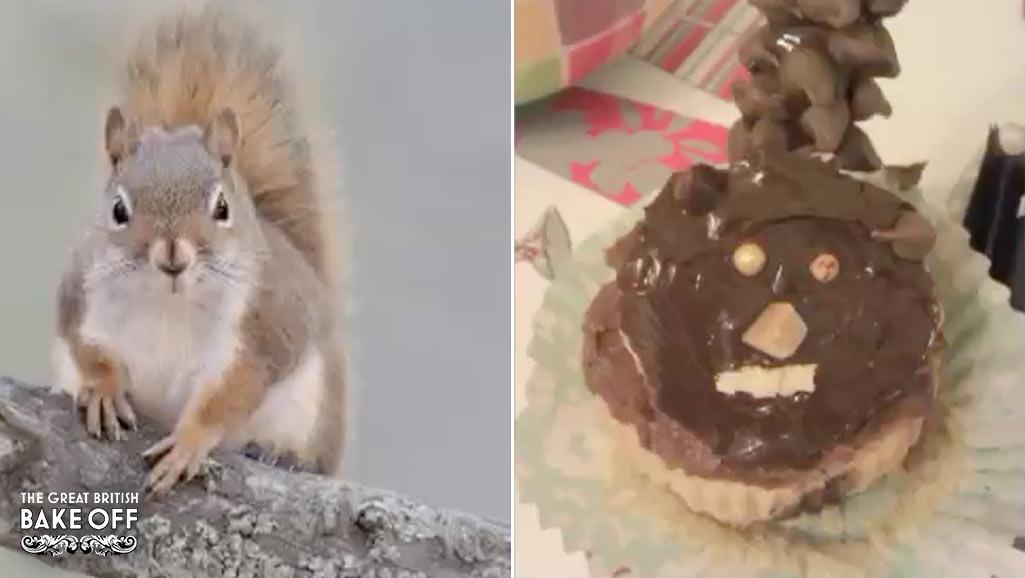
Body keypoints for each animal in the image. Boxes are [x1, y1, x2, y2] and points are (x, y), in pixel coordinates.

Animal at [52, 8, 347, 494]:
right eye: (118, 209)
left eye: (222, 207)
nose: (173, 258)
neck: (168, 305)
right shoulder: (79, 298)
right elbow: (87, 349)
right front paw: (104, 391)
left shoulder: (260, 334)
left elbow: (228, 397)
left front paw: (188, 443)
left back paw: (286, 456)